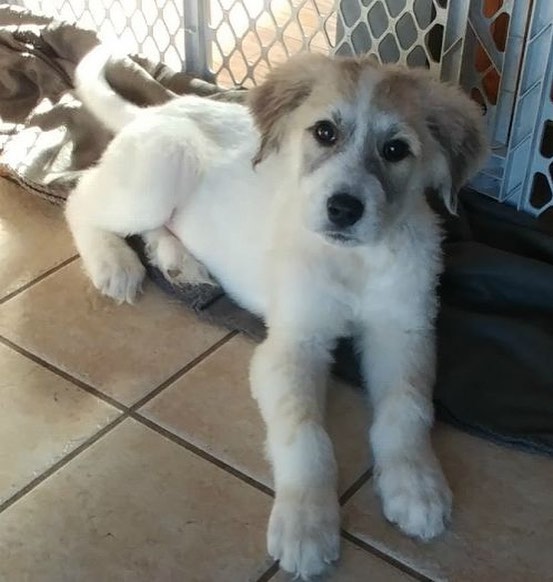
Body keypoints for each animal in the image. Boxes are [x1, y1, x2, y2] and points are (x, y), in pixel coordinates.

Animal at [67, 48, 486, 580]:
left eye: (396, 150)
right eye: (324, 132)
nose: (343, 208)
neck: (353, 261)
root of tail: (158, 109)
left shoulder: (404, 332)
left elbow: (407, 408)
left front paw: (415, 482)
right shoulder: (292, 345)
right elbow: (305, 434)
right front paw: (306, 520)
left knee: (150, 225)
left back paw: (178, 261)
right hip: (159, 173)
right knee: (80, 197)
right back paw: (113, 263)